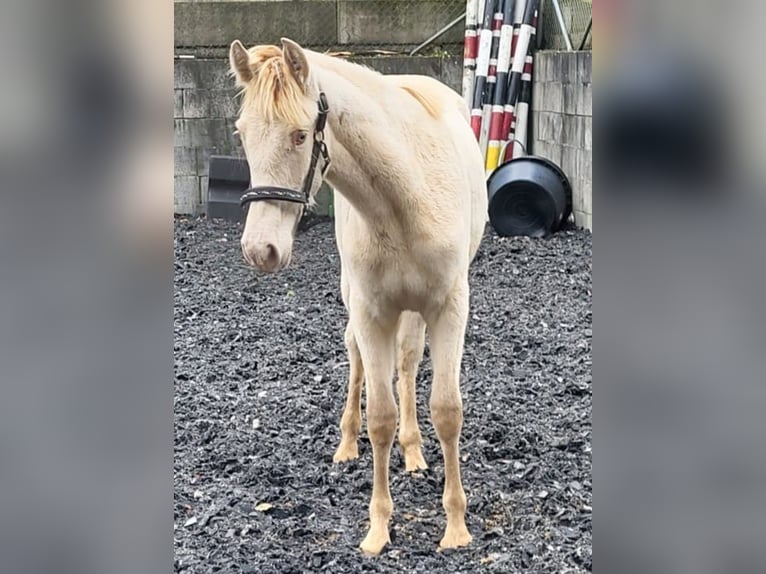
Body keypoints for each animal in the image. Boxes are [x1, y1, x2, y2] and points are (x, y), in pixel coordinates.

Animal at [231, 38, 488, 556]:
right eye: (242, 134)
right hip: (356, 301)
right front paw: (378, 529)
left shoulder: (450, 308)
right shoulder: (371, 313)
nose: (260, 250)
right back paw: (349, 444)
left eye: (299, 136)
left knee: (407, 361)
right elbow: (380, 417)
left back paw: (414, 451)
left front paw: (455, 528)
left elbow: (447, 411)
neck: (404, 199)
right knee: (358, 362)